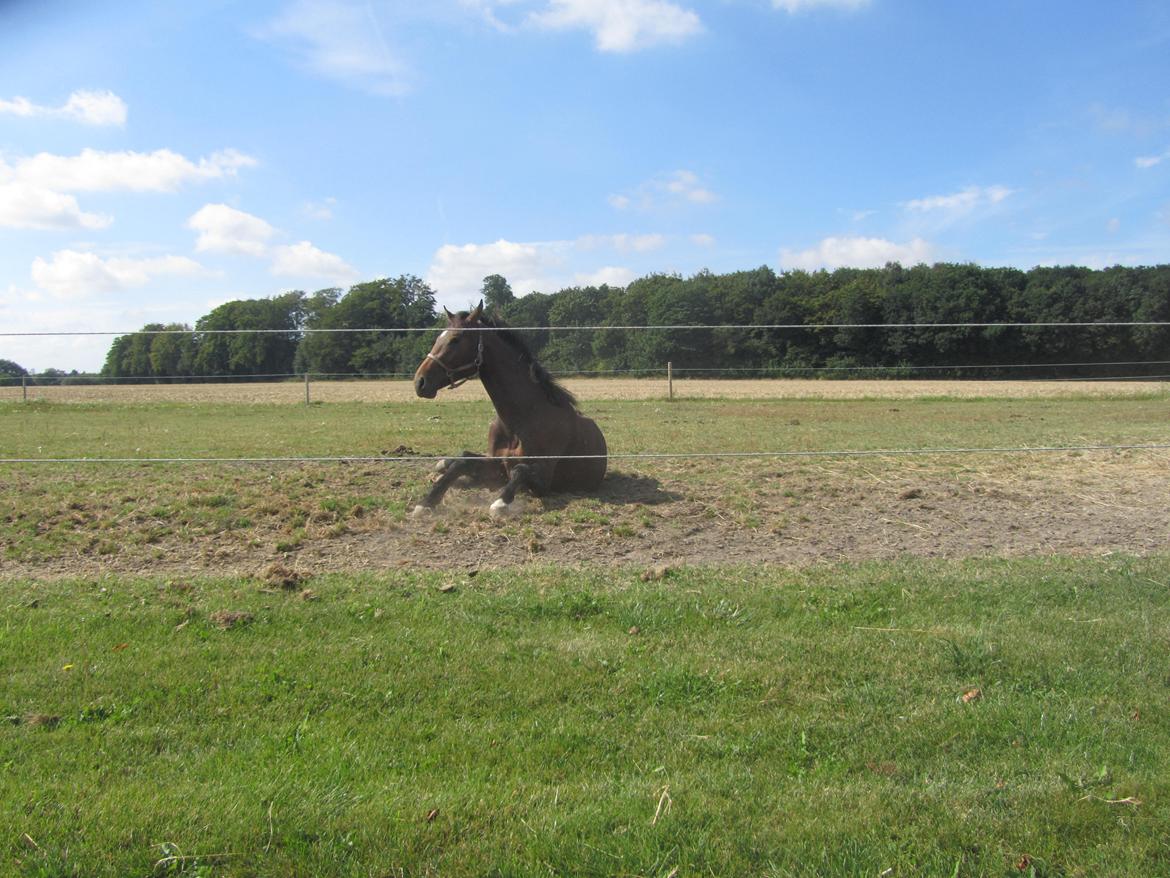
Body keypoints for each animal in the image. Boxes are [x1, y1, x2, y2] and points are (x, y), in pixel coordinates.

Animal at [409, 304, 608, 515]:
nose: (420, 382)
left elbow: (519, 470)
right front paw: (426, 502)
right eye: (439, 337)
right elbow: (461, 463)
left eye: (455, 339)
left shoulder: (544, 479)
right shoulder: (497, 466)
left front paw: (500, 503)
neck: (521, 420)